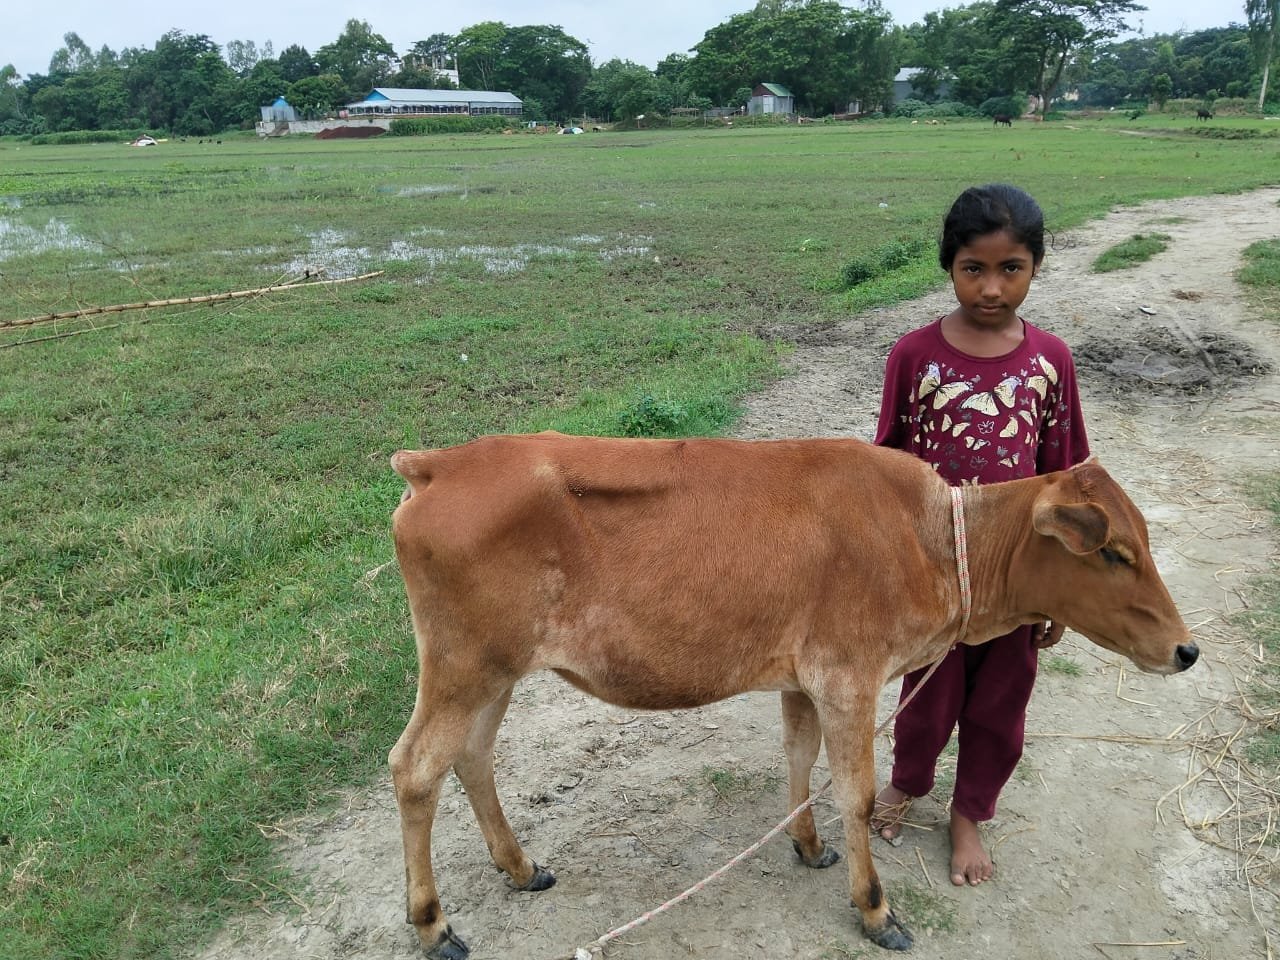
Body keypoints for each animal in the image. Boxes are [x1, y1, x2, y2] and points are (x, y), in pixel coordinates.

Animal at [388, 432, 1197, 958]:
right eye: (1114, 552)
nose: (1187, 650)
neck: (931, 538)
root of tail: (439, 463)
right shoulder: (849, 675)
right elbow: (857, 794)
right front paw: (876, 909)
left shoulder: (807, 680)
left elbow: (801, 760)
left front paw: (807, 846)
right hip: (463, 668)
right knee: (415, 769)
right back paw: (433, 924)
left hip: (494, 672)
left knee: (473, 758)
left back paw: (521, 868)